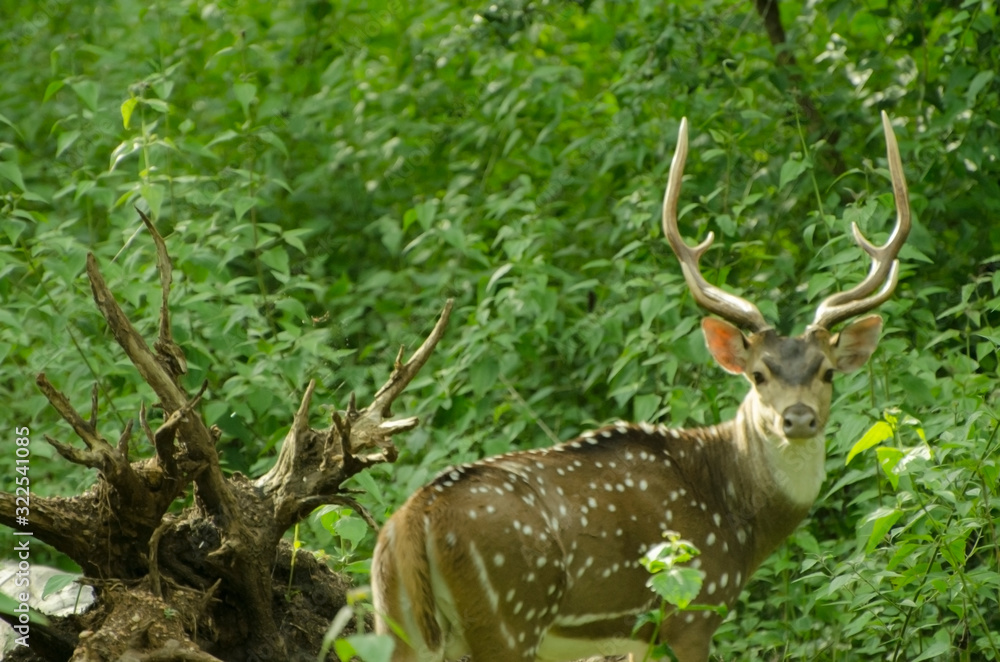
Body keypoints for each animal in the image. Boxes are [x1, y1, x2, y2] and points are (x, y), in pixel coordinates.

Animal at [371, 111, 910, 662]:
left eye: (826, 371)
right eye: (758, 374)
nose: (797, 418)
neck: (736, 517)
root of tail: (412, 519)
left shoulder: (638, 633)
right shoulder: (692, 607)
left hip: (392, 618)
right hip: (507, 618)